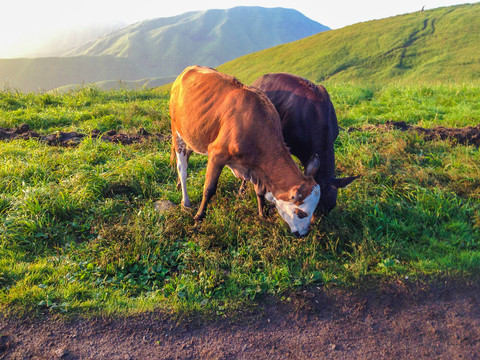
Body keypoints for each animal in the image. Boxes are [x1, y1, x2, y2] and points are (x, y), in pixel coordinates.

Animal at [171, 66, 320, 238]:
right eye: (301, 213)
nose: (303, 234)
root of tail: (189, 69)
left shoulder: (256, 167)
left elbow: (259, 191)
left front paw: (262, 214)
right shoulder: (217, 153)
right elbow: (209, 189)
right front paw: (198, 219)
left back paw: (178, 185)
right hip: (177, 132)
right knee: (182, 168)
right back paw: (185, 202)